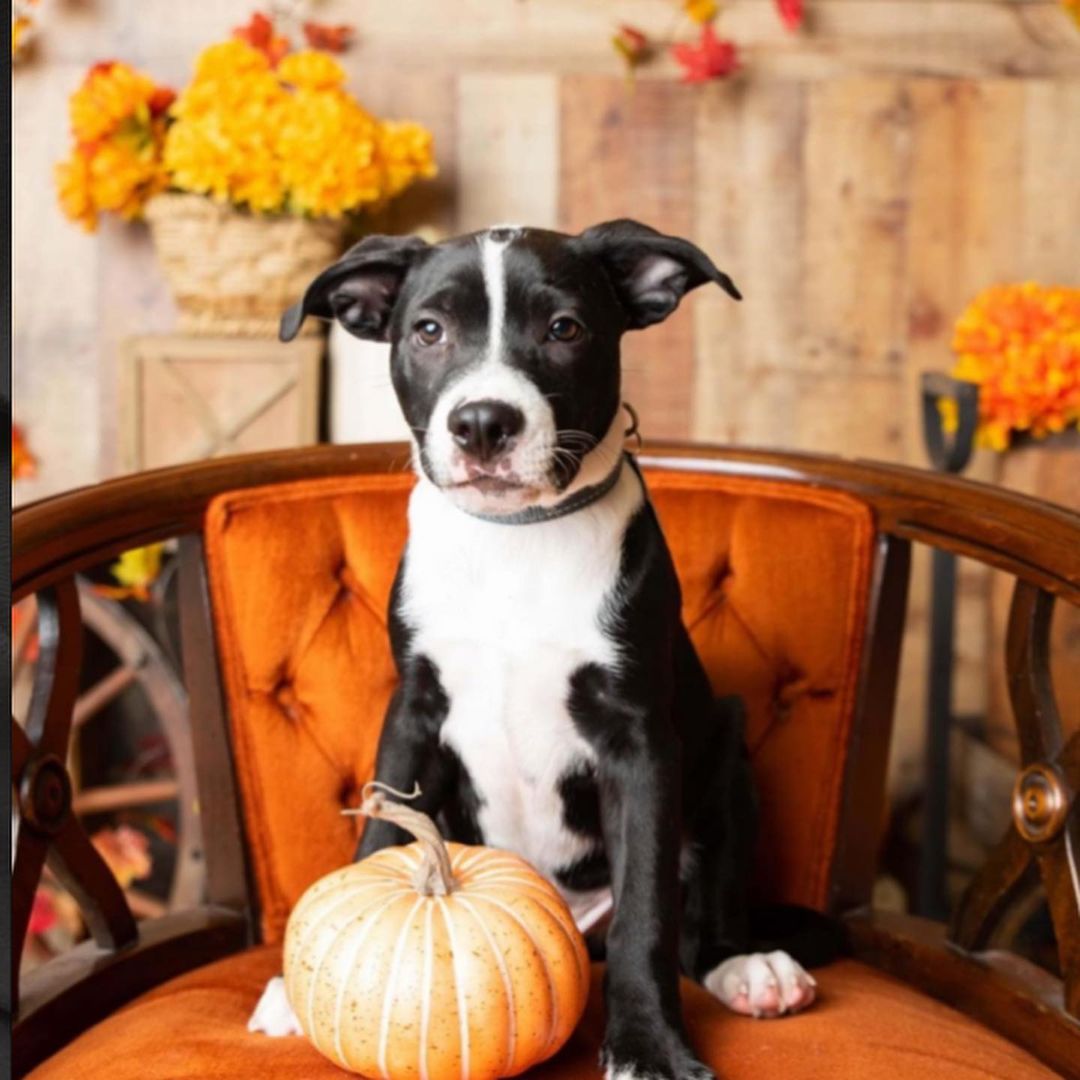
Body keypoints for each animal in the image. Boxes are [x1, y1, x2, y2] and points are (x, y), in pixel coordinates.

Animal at [248, 221, 812, 1080]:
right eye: (429, 330)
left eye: (565, 329)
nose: (483, 423)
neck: (516, 540)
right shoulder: (414, 711)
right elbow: (381, 833)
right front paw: (299, 982)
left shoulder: (639, 741)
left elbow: (647, 912)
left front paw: (647, 1042)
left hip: (726, 752)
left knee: (696, 916)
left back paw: (748, 966)